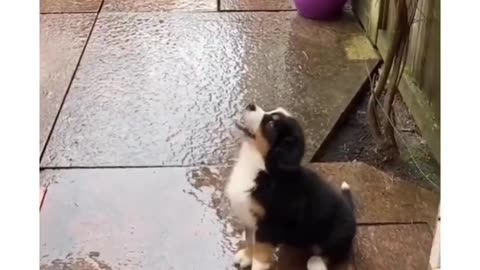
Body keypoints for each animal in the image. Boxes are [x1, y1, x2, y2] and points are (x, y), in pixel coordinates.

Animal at [226, 103, 356, 270]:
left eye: (271, 124)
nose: (250, 105)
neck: (261, 167)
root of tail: (351, 212)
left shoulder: (269, 225)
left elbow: (260, 254)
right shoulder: (249, 220)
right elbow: (250, 240)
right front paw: (246, 256)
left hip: (337, 232)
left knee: (333, 252)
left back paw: (316, 263)